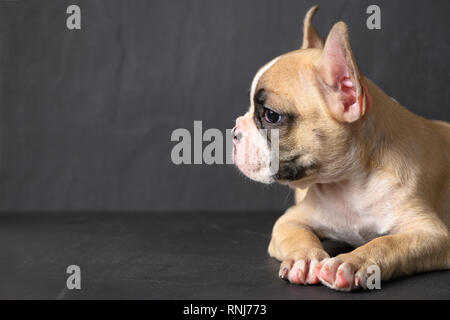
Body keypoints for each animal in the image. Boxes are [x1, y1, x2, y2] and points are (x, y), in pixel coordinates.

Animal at [234, 5, 448, 292]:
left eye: (270, 115)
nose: (235, 132)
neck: (352, 185)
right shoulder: (288, 222)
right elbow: (297, 236)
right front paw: (305, 258)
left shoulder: (431, 234)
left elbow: (388, 242)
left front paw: (352, 262)